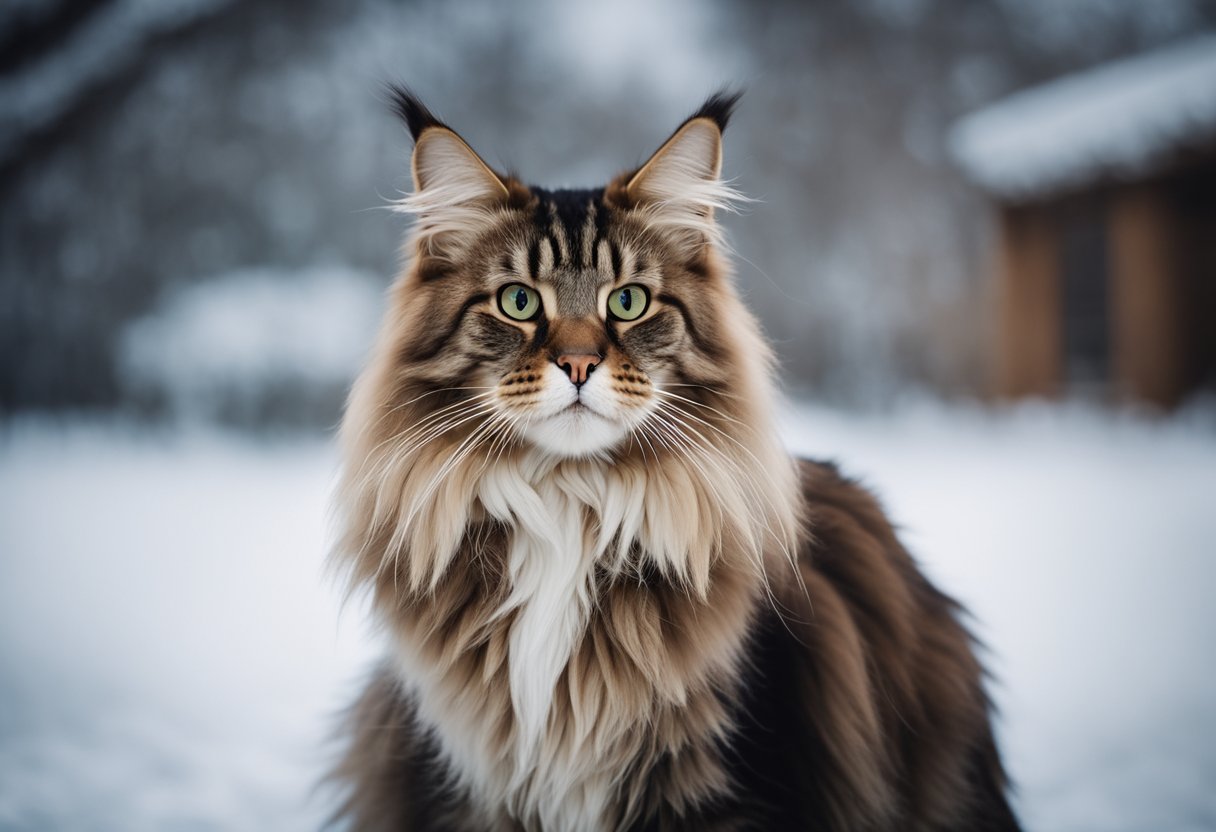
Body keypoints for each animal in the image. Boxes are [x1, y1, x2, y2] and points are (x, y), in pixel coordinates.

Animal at [328, 89, 1021, 832]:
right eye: (518, 301)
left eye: (628, 301)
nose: (579, 364)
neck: (568, 514)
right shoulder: (473, 785)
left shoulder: (734, 777)